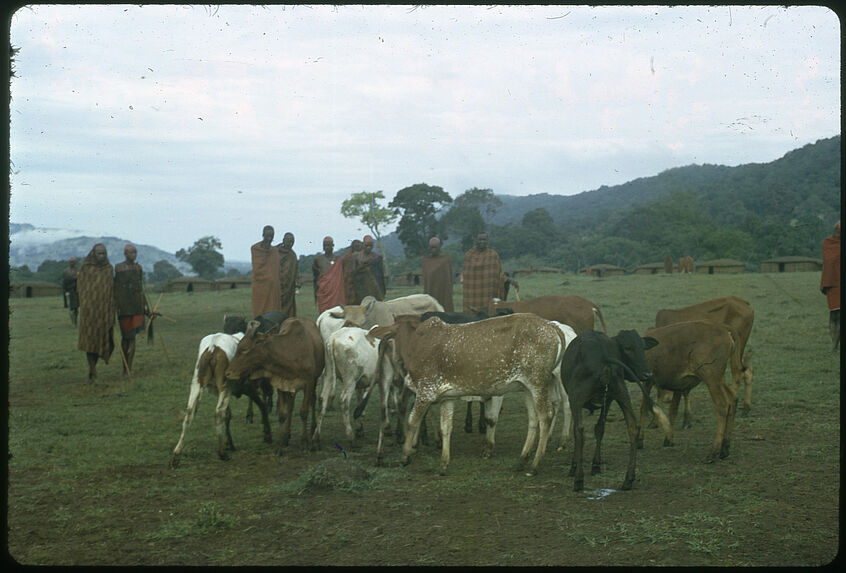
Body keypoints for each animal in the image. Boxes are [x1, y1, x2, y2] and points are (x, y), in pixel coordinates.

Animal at [225, 316, 324, 454]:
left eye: (244, 350)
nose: (228, 373)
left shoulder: (309, 382)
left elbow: (304, 412)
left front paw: (304, 442)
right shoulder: (281, 383)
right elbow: (282, 414)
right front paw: (279, 445)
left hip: (314, 381)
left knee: (312, 401)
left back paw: (313, 431)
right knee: (291, 405)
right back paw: (287, 436)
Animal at [368, 310, 568, 476]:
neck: (416, 342)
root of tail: (551, 325)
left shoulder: (426, 392)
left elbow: (412, 422)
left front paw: (405, 455)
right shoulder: (446, 397)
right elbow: (446, 428)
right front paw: (443, 464)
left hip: (537, 383)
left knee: (545, 416)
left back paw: (534, 465)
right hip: (527, 387)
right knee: (533, 420)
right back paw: (522, 460)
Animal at [560, 328, 672, 490]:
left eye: (643, 348)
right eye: (628, 348)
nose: (648, 374)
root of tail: (604, 356)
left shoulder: (576, 400)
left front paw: (576, 466)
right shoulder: (608, 400)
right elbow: (600, 428)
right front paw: (596, 465)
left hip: (577, 398)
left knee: (579, 430)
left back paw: (578, 479)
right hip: (621, 394)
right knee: (632, 427)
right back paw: (628, 479)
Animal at [644, 320, 744, 462]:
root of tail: (724, 329)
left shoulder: (647, 381)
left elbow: (643, 409)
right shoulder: (676, 386)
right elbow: (671, 410)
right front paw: (668, 438)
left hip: (711, 378)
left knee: (723, 405)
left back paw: (713, 452)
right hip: (719, 379)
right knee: (733, 399)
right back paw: (725, 449)